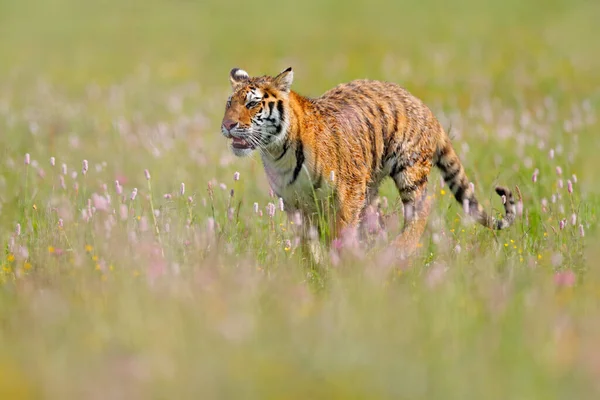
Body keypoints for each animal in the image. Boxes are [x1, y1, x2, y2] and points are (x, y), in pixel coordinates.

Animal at [220, 66, 516, 260]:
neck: (278, 152)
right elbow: (308, 242)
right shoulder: (294, 202)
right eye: (229, 103)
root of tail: (424, 107)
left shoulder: (348, 192)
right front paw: (314, 269)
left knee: (422, 208)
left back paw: (399, 251)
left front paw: (338, 265)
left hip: (408, 171)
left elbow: (340, 231)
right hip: (371, 185)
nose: (227, 125)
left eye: (252, 104)